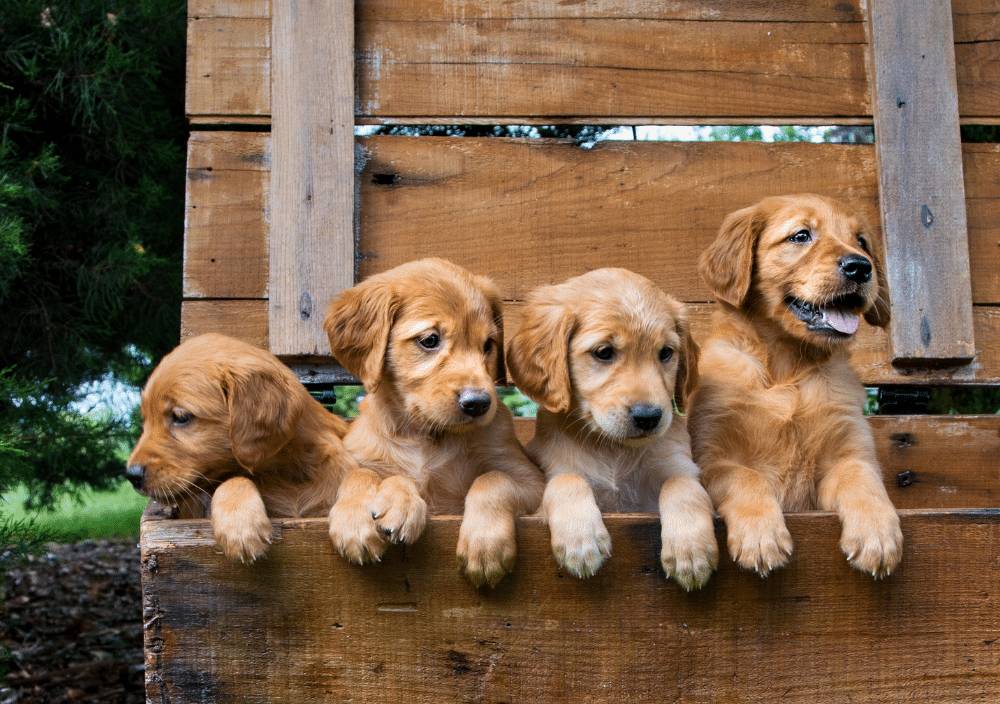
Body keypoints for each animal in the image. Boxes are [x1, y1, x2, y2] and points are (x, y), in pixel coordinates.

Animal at [125, 332, 358, 564]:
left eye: (181, 417)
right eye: (145, 420)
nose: (131, 475)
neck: (285, 473)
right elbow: (233, 479)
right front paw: (240, 527)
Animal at [322, 256, 544, 584]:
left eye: (488, 344)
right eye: (429, 340)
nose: (478, 403)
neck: (423, 434)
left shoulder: (533, 482)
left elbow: (493, 478)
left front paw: (485, 544)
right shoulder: (359, 456)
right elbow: (359, 474)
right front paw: (360, 517)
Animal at [508, 270, 720, 588]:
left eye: (666, 353)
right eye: (604, 352)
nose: (649, 417)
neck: (613, 449)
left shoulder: (680, 468)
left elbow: (682, 485)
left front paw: (691, 550)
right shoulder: (549, 482)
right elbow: (567, 479)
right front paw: (581, 539)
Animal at [692, 192, 904, 576]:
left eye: (861, 242)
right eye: (801, 235)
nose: (861, 266)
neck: (788, 371)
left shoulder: (846, 453)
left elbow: (862, 477)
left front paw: (878, 535)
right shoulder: (713, 458)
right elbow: (746, 477)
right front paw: (761, 537)